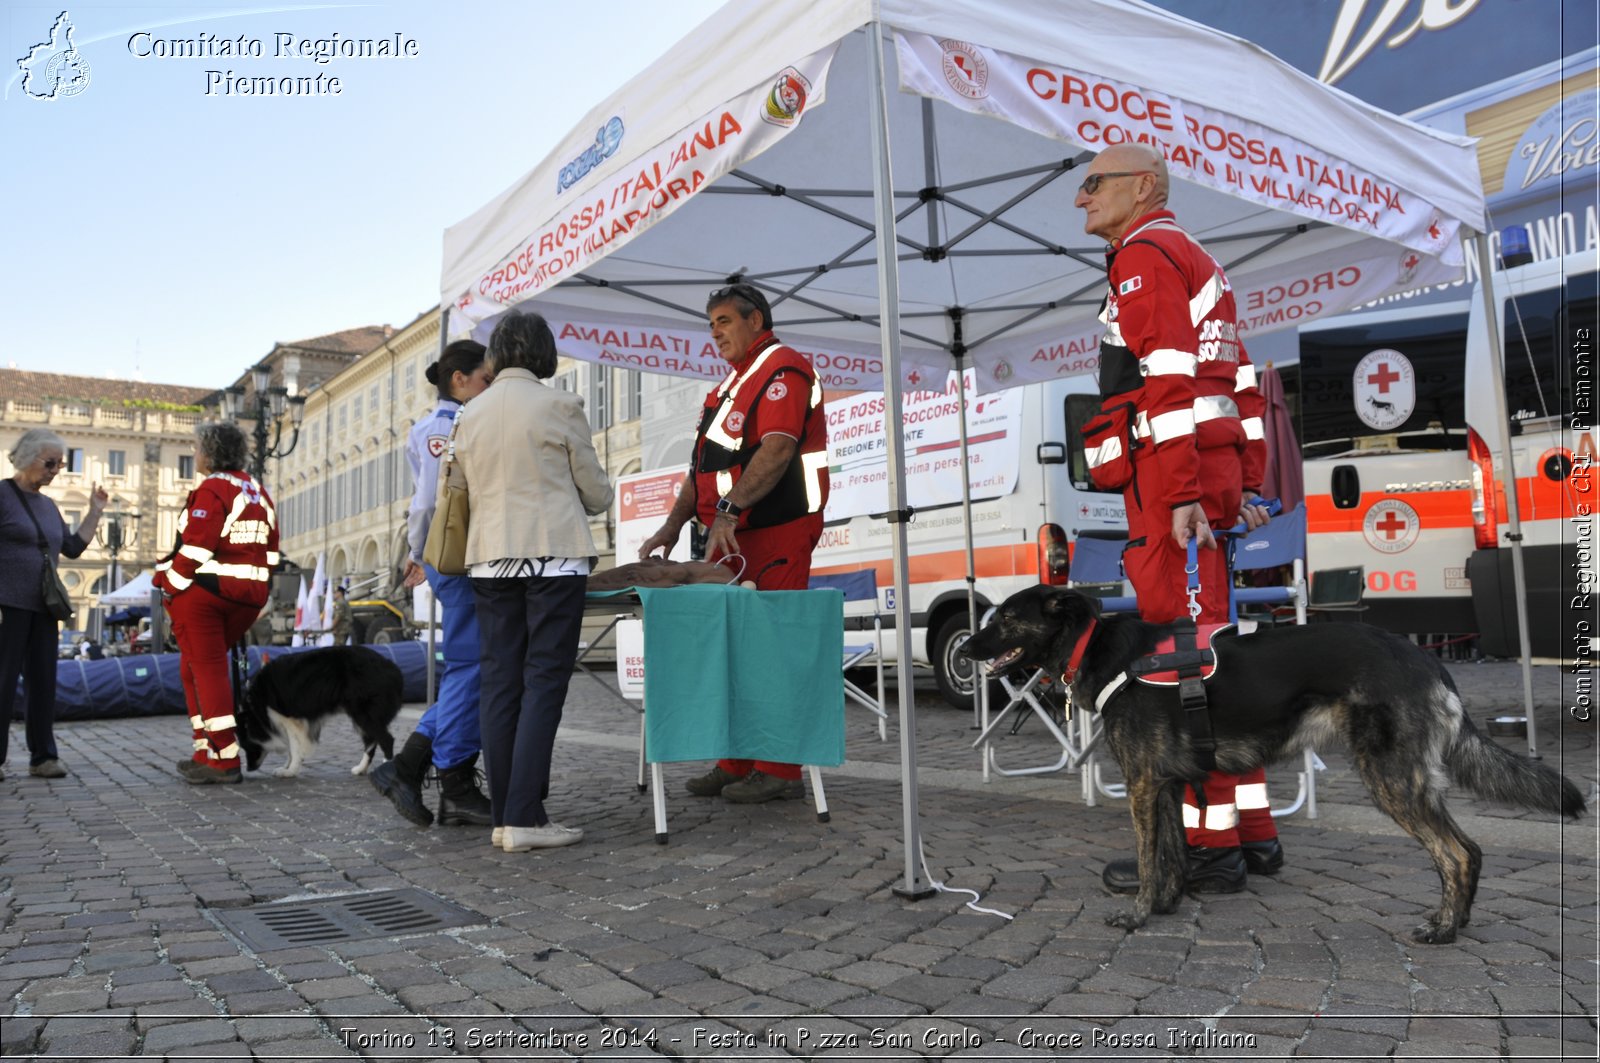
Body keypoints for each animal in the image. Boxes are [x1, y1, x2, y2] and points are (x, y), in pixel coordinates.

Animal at [244, 643, 406, 778]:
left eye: (247, 746)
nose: (248, 769)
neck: (255, 707)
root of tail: (393, 668)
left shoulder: (290, 718)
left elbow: (295, 746)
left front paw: (290, 771)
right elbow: (291, 746)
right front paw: (287, 767)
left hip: (364, 714)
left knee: (386, 739)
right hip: (362, 715)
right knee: (371, 741)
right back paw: (360, 769)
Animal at [953, 589, 1580, 947]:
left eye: (1004, 619)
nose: (961, 650)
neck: (1099, 646)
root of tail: (1427, 659)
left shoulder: (1140, 784)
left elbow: (1149, 858)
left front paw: (1137, 917)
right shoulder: (1167, 785)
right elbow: (1173, 853)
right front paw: (1167, 906)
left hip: (1390, 779)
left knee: (1455, 852)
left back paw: (1444, 929)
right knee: (1467, 849)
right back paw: (1461, 921)